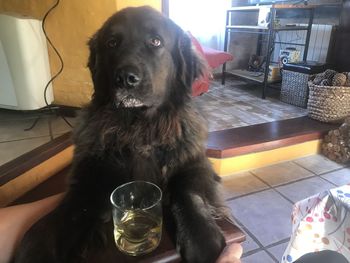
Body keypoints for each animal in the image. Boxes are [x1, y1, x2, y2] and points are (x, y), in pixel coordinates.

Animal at [14, 6, 227, 263]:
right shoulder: (90, 174)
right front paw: (36, 247)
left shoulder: (194, 162)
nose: (126, 78)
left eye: (155, 41)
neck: (139, 128)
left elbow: (188, 192)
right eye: (112, 43)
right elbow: (68, 210)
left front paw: (202, 239)